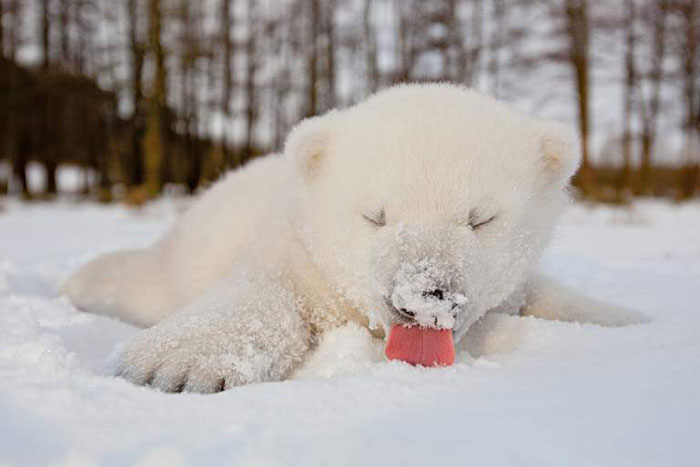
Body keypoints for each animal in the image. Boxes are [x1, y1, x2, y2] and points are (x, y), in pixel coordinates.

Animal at [61, 84, 646, 393]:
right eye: (375, 216)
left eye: (480, 219)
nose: (424, 296)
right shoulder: (295, 250)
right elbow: (263, 292)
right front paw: (174, 364)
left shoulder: (517, 281)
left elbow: (547, 295)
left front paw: (631, 321)